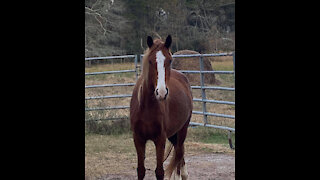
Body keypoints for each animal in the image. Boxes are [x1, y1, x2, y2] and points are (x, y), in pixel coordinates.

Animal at [130, 35, 192, 180]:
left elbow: (159, 172)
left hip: (182, 129)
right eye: (150, 61)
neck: (146, 107)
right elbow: (141, 170)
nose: (162, 92)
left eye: (169, 60)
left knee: (179, 153)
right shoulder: (138, 139)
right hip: (174, 134)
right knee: (179, 152)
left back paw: (181, 175)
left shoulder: (160, 139)